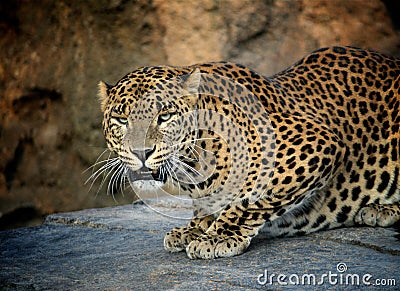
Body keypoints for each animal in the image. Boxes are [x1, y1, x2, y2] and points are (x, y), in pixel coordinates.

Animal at [97, 46, 400, 260]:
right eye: (121, 120)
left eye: (165, 116)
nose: (141, 152)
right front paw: (194, 228)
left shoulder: (314, 142)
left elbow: (248, 198)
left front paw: (217, 237)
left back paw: (381, 209)